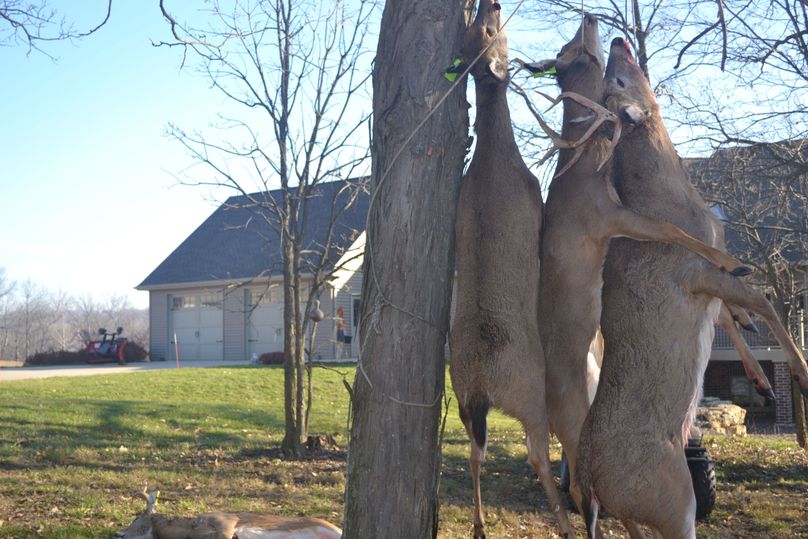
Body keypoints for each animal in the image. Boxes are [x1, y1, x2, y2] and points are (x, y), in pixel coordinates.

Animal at [575, 37, 808, 539]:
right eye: (617, 78)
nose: (618, 41)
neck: (671, 200)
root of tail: (589, 482)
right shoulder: (695, 274)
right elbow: (761, 301)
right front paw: (801, 372)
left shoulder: (708, 282)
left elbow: (738, 316)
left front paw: (763, 381)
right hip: (673, 497)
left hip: (638, 509)